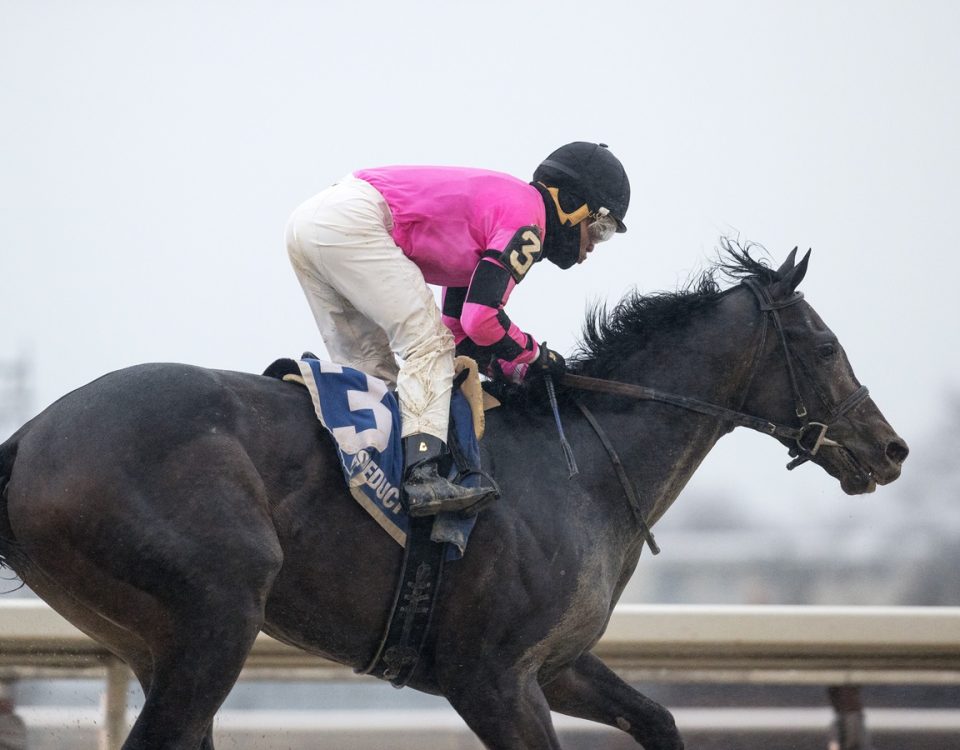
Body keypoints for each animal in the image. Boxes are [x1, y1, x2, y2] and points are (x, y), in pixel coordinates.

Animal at [0, 248, 908, 750]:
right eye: (825, 347)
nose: (891, 449)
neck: (578, 463)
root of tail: (31, 436)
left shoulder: (557, 665)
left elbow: (658, 720)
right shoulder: (490, 677)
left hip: (155, 640)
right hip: (218, 614)